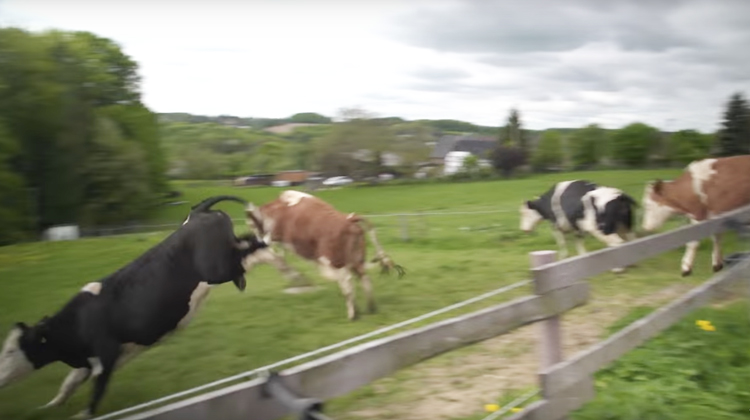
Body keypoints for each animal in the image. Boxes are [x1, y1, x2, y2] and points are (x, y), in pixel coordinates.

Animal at [0, 195, 268, 418]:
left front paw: (82, 414)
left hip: (216, 269)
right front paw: (46, 407)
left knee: (249, 250)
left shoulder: (106, 355)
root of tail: (198, 213)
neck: (77, 323)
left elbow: (96, 393)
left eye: (11, 350)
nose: (0, 377)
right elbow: (68, 384)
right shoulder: (88, 361)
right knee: (247, 245)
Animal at [242, 191, 406, 322]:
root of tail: (348, 219)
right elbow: (278, 258)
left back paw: (353, 314)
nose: (256, 236)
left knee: (347, 282)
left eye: (251, 224)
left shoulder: (274, 238)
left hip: (334, 262)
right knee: (364, 278)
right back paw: (370, 308)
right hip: (356, 260)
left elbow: (272, 255)